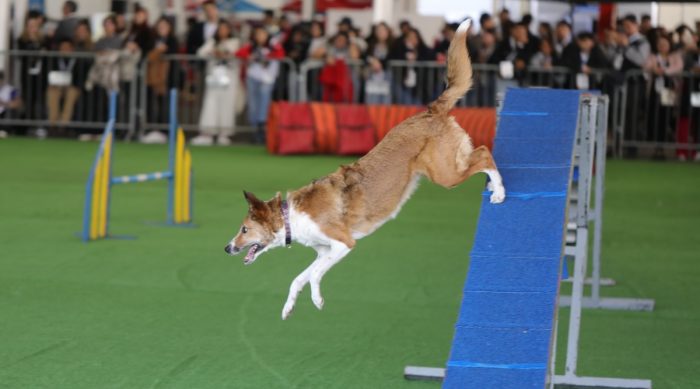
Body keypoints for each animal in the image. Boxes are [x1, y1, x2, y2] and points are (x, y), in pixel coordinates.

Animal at [227, 20, 506, 318]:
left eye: (244, 230)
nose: (226, 248)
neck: (290, 217)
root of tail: (431, 110)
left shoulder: (343, 244)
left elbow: (313, 274)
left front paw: (316, 300)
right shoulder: (324, 251)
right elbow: (302, 277)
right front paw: (292, 306)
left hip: (445, 174)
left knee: (484, 154)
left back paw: (499, 192)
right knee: (478, 154)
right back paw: (492, 186)